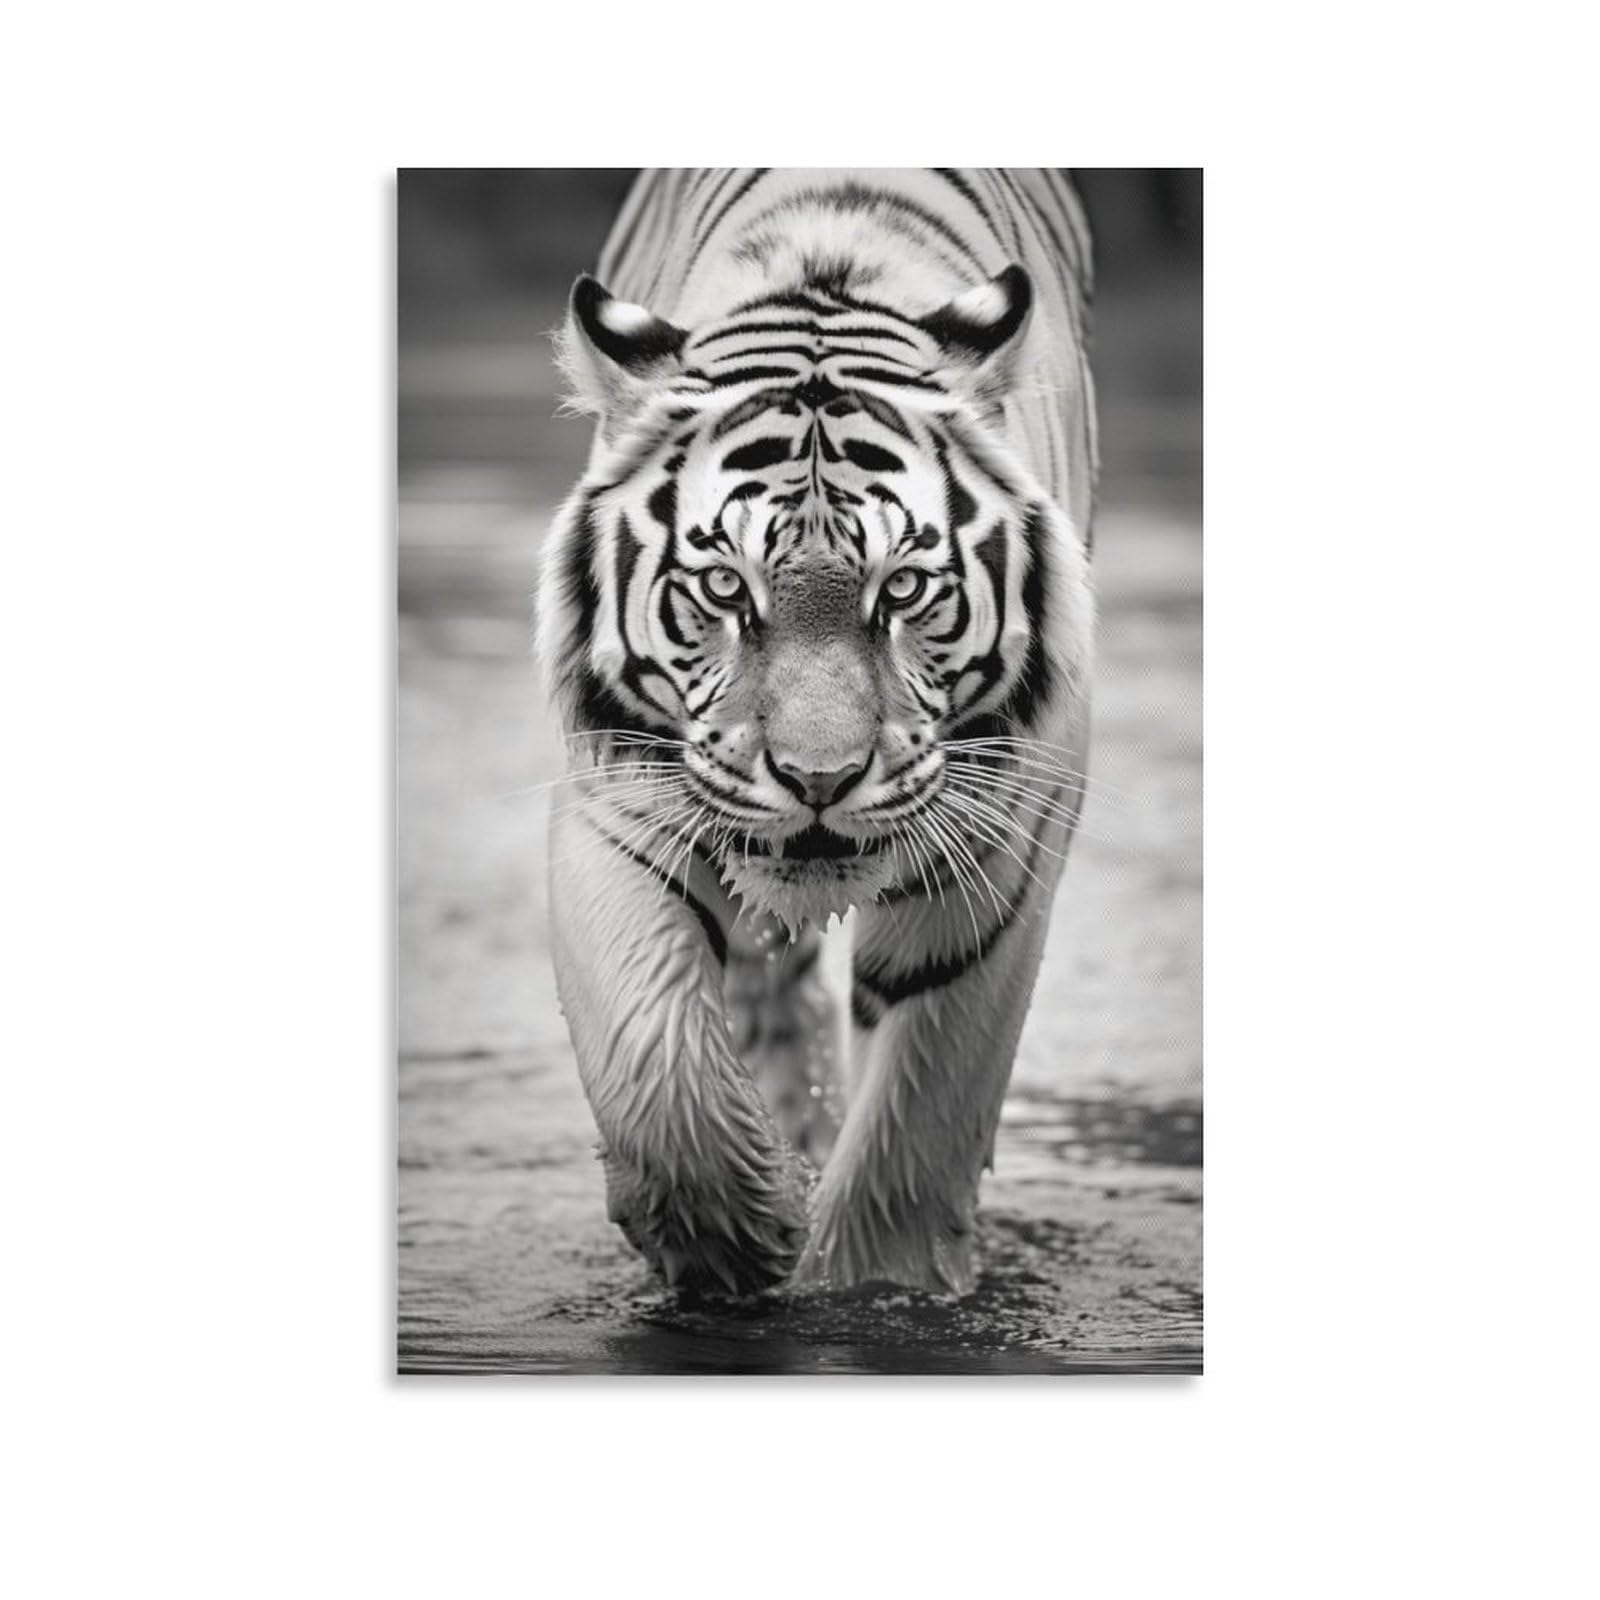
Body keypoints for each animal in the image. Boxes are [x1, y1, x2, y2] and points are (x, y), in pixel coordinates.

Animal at [537, 168, 1097, 1298]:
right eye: (723, 587)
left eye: (904, 588)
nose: (818, 779)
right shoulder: (620, 803)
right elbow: (654, 1054)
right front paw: (738, 1232)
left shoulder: (1002, 841)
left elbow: (916, 1121)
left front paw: (867, 1284)